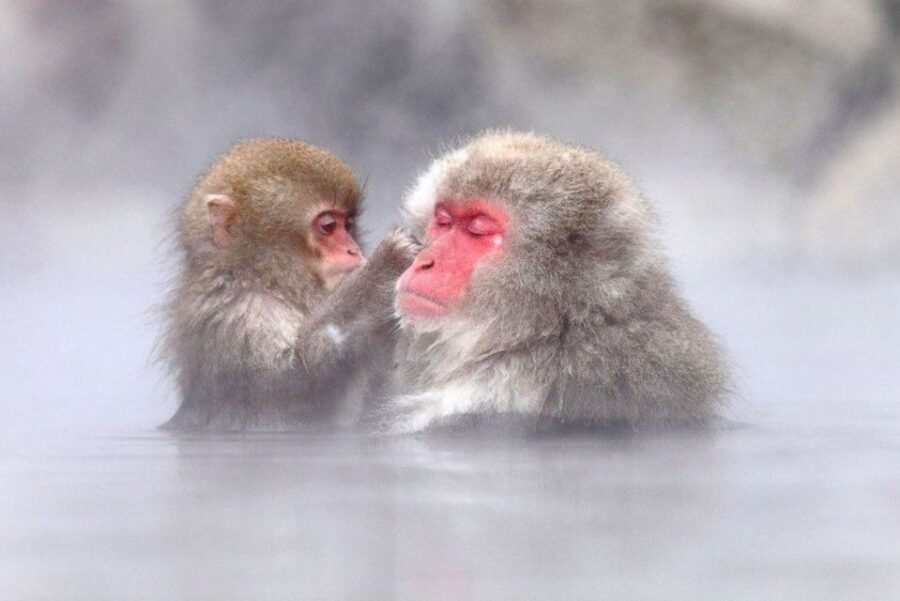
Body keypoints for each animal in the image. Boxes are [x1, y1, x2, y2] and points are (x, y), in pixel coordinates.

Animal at [159, 137, 415, 431]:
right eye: (328, 225)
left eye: (348, 225)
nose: (354, 250)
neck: (266, 281)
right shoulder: (237, 315)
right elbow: (292, 385)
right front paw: (382, 270)